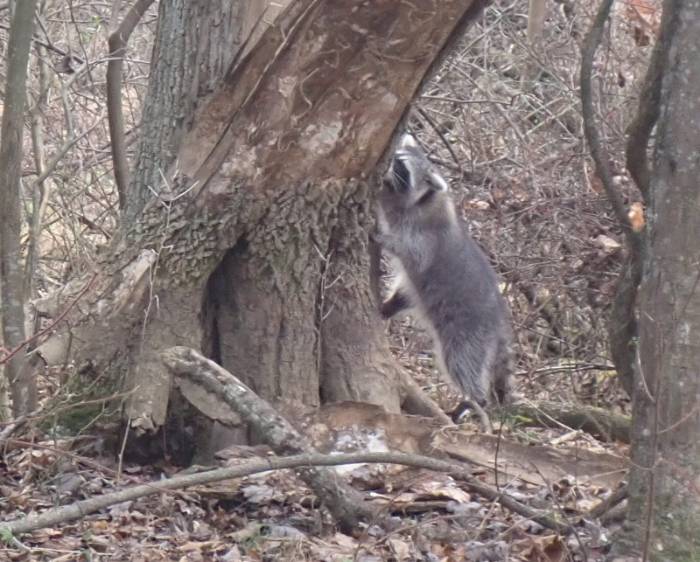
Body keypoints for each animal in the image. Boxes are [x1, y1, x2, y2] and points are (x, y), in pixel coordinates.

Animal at [376, 134, 513, 417]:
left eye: (401, 166)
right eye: (397, 156)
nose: (386, 164)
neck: (425, 198)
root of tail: (498, 320)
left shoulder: (425, 235)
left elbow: (410, 250)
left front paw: (382, 236)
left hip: (469, 332)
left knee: (463, 364)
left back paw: (474, 401)